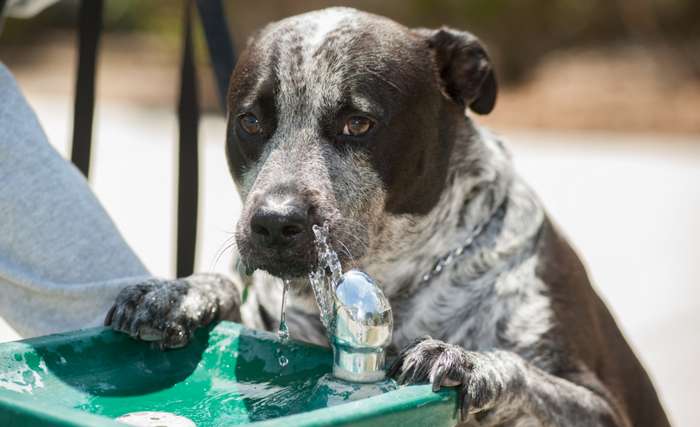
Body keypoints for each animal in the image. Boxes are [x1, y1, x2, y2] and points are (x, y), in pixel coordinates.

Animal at [104, 7, 668, 427]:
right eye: (251, 121)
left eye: (358, 123)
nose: (274, 222)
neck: (398, 277)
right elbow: (226, 290)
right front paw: (179, 292)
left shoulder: (599, 406)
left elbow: (522, 373)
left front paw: (469, 361)